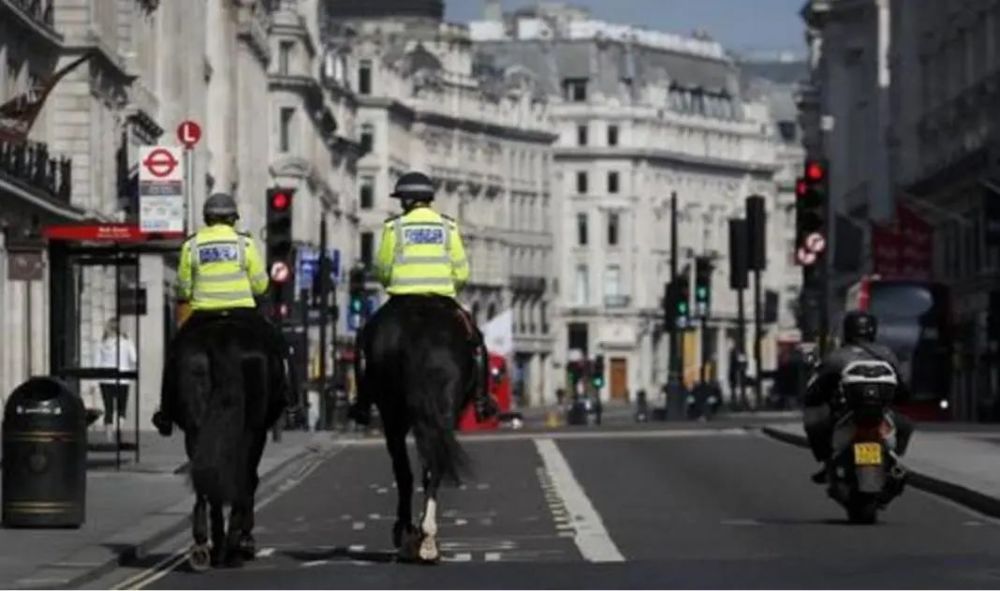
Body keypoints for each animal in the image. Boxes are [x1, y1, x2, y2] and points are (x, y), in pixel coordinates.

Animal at [158, 316, 288, 572]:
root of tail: (222, 340)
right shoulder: (257, 433)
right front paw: (244, 540)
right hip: (252, 431)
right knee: (244, 479)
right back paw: (235, 546)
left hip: (196, 425)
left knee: (206, 480)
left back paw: (207, 545)